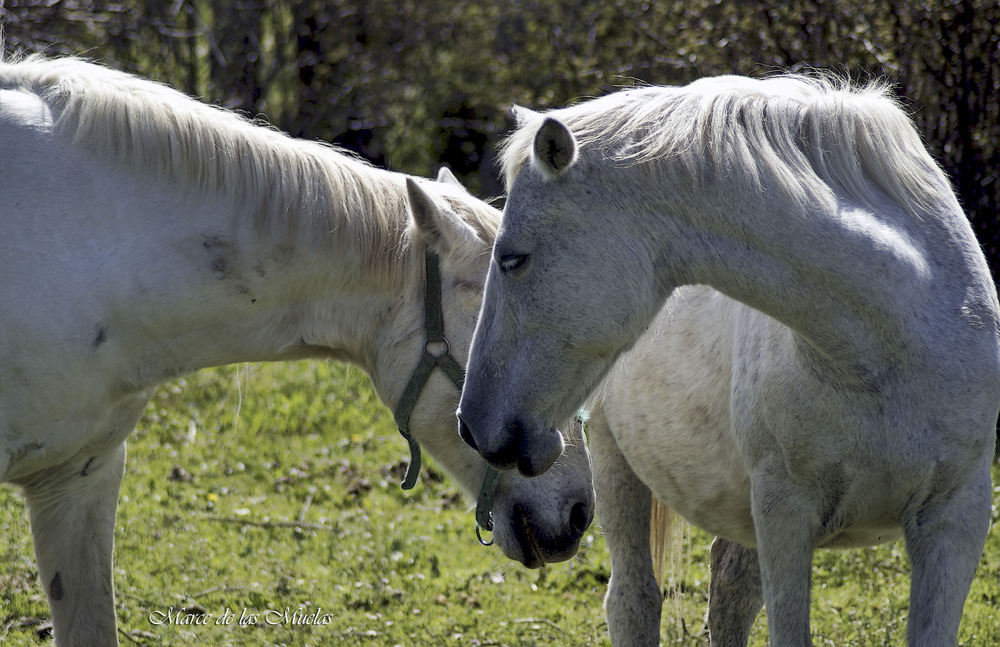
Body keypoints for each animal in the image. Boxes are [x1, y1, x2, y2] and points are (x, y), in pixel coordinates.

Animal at [458, 73, 1000, 644]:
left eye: (512, 258)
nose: (471, 424)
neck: (883, 355)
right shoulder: (786, 514)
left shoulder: (955, 522)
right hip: (616, 466)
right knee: (635, 602)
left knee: (729, 598)